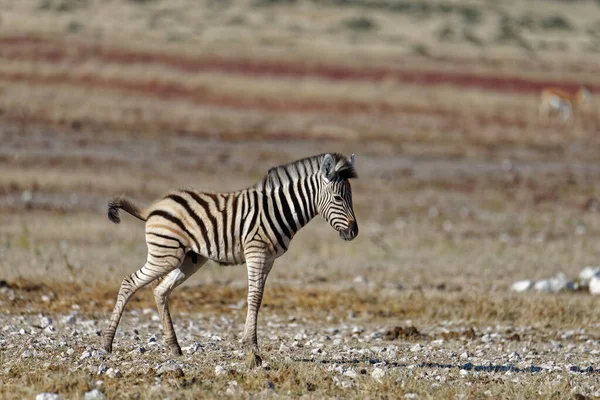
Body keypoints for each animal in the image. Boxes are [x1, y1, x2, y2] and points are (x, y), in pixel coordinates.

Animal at [102, 153, 358, 368]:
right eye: (338, 198)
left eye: (351, 197)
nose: (353, 233)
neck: (280, 210)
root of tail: (153, 208)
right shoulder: (256, 253)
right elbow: (254, 298)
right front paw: (252, 351)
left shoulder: (269, 260)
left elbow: (259, 298)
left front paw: (250, 348)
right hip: (165, 255)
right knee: (129, 282)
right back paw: (107, 344)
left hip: (189, 259)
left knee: (160, 290)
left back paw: (174, 347)